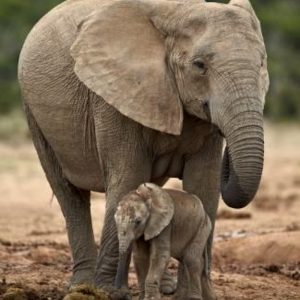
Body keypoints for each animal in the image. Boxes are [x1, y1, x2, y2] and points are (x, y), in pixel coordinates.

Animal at [17, 0, 268, 298]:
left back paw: (164, 286)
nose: (228, 153)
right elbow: (128, 176)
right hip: (35, 114)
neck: (181, 11)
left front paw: (197, 294)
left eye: (262, 63)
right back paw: (83, 286)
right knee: (69, 193)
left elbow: (204, 186)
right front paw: (108, 291)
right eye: (200, 66)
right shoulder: (114, 96)